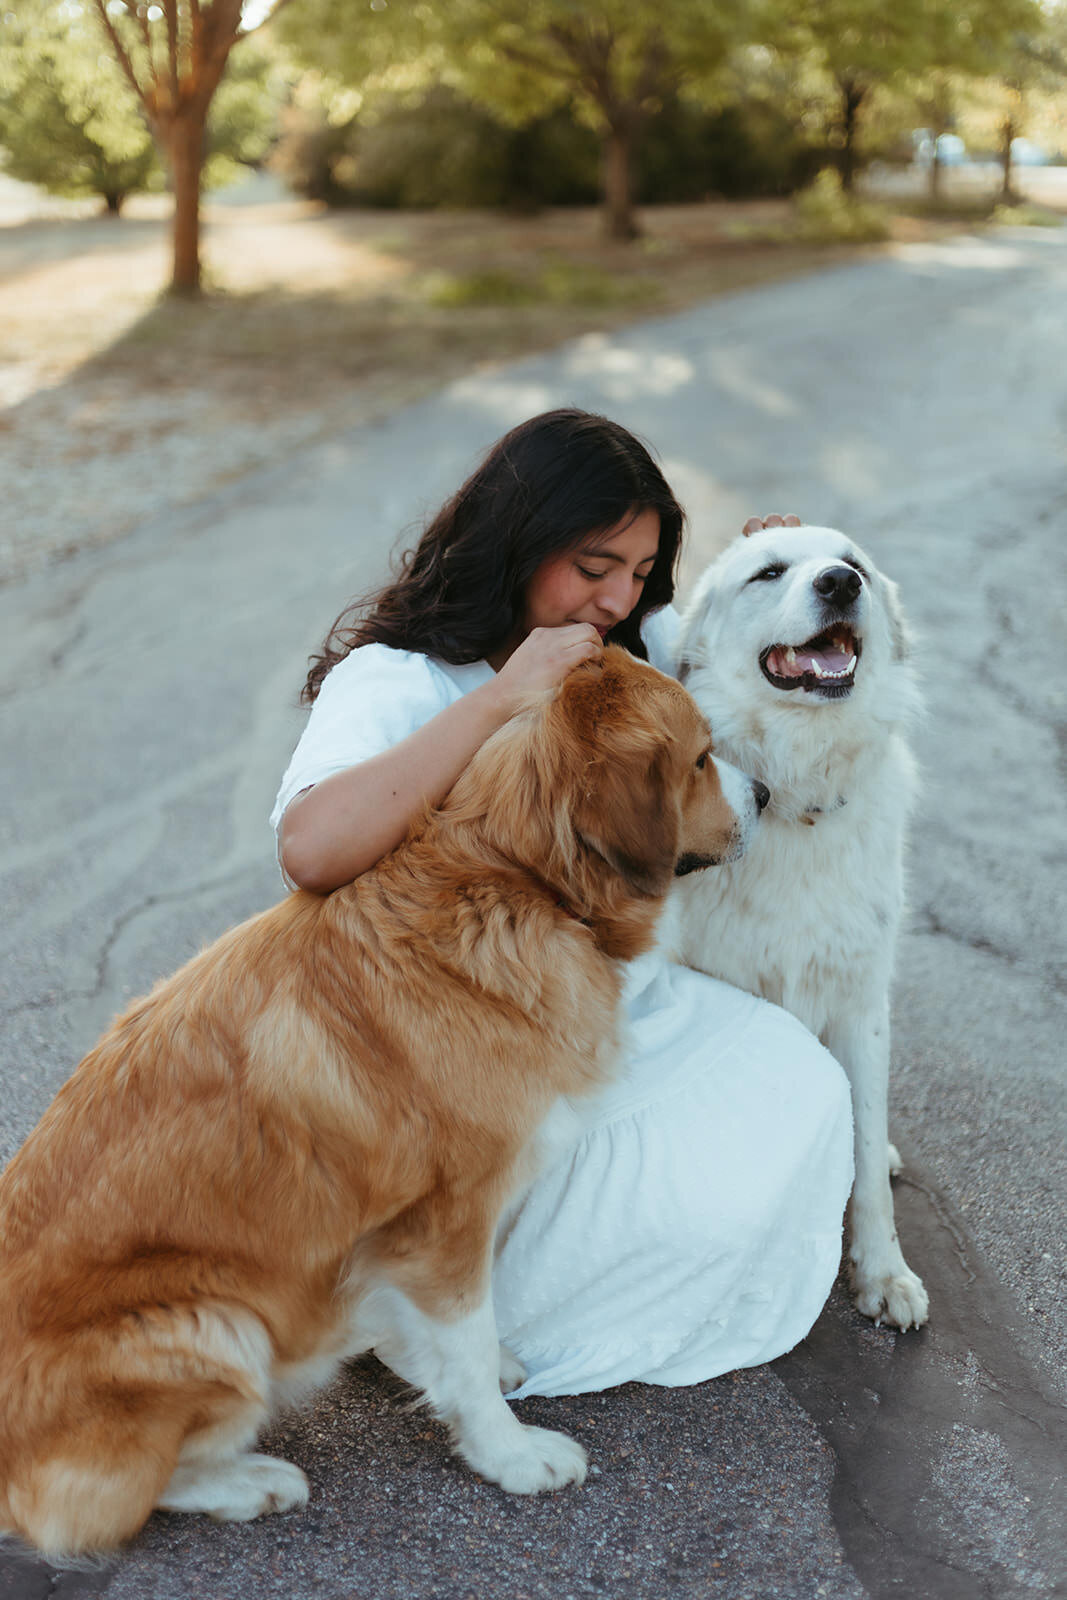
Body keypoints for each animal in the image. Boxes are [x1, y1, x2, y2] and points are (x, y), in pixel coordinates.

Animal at [2, 646, 767, 1548]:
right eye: (702, 758)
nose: (766, 795)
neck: (516, 879)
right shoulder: (452, 1213)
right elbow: (464, 1336)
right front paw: (508, 1453)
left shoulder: (414, 1230)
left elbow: (448, 1326)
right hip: (217, 1324)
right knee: (89, 1505)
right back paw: (250, 1481)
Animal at [671, 521, 927, 1324]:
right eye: (769, 572)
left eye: (853, 565)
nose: (838, 585)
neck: (794, 794)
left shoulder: (860, 1002)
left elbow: (866, 1159)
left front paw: (881, 1273)